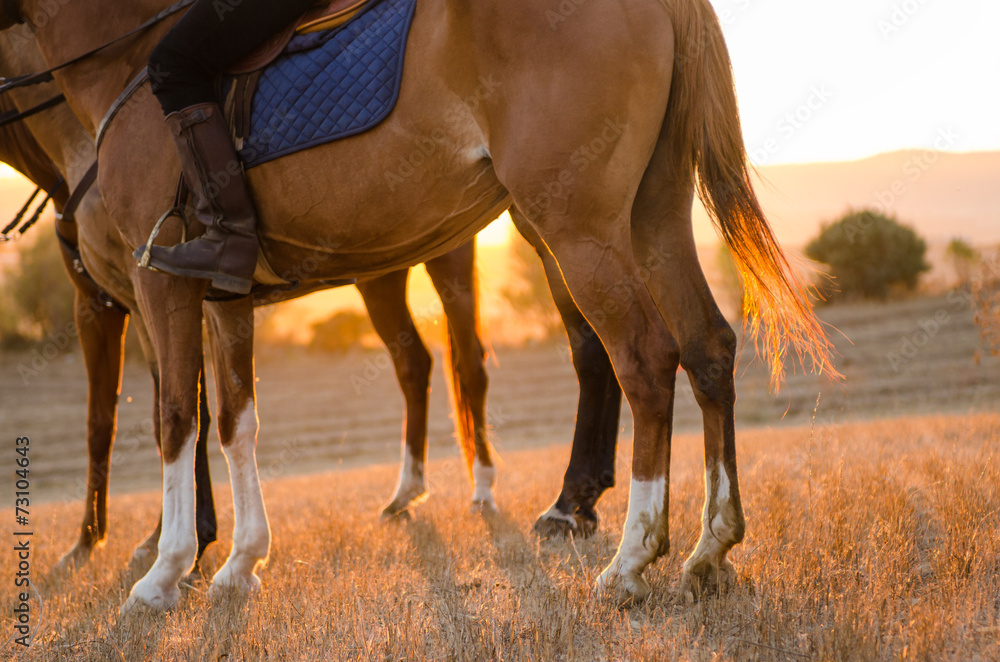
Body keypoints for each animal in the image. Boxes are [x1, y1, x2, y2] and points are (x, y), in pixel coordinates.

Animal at [0, 0, 833, 609]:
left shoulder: (155, 284)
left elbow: (172, 417)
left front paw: (164, 570)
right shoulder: (220, 296)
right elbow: (235, 419)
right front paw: (239, 564)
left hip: (574, 227)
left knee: (640, 358)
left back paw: (626, 556)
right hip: (651, 216)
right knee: (707, 347)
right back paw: (708, 549)